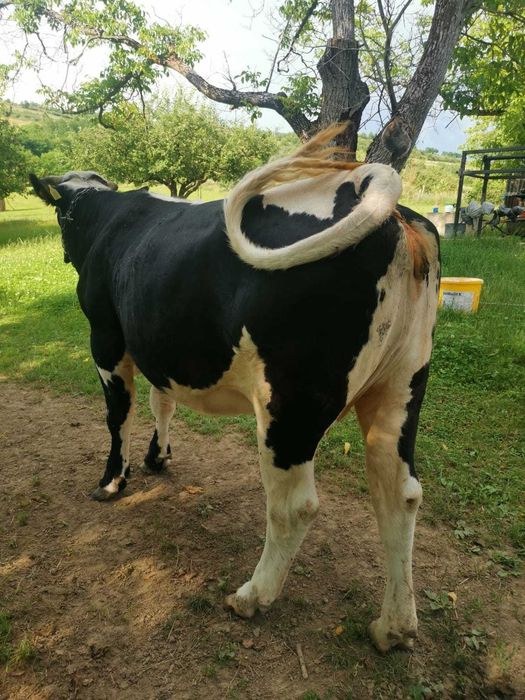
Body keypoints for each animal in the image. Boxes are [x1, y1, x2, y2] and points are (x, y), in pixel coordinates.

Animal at [30, 124, 440, 653]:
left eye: (61, 215)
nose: (64, 250)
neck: (110, 220)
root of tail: (386, 206)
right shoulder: (160, 345)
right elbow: (163, 400)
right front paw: (158, 457)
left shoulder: (107, 337)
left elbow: (118, 412)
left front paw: (112, 480)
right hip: (400, 385)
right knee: (399, 494)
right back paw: (394, 626)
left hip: (289, 406)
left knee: (295, 507)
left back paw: (251, 596)